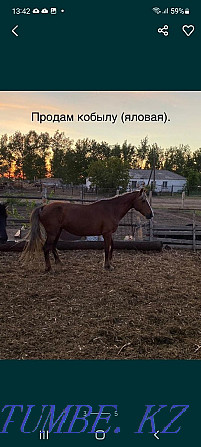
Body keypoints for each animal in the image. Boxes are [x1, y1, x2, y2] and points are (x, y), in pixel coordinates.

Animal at [22, 190, 153, 272]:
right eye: (143, 201)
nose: (150, 214)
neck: (111, 209)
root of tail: (44, 207)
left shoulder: (109, 234)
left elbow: (112, 246)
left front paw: (110, 263)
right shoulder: (106, 234)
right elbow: (107, 248)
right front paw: (107, 265)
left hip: (57, 232)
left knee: (53, 246)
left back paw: (59, 263)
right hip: (52, 233)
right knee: (46, 248)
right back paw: (49, 268)